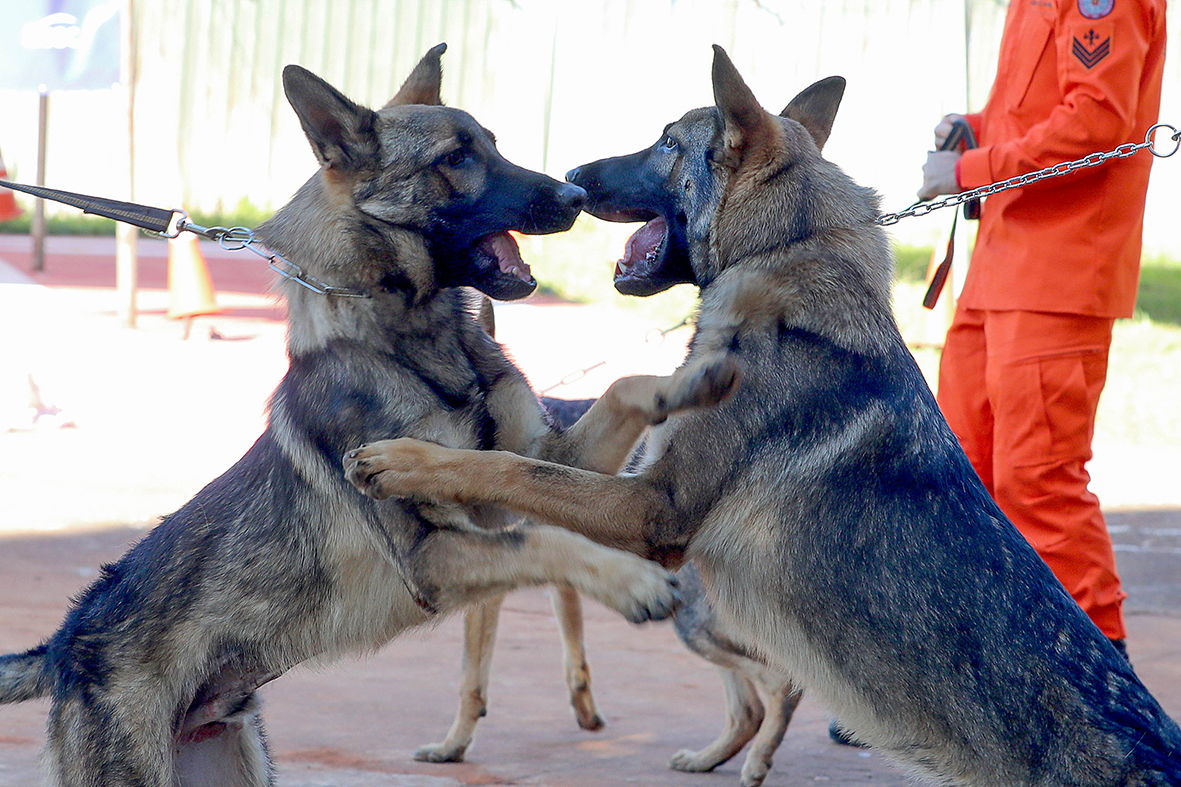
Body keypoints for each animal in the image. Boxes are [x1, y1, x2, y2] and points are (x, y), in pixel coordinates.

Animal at [0, 46, 736, 779]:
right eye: (455, 158)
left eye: (494, 145)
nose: (577, 195)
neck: (413, 341)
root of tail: (62, 645)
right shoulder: (432, 555)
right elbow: (543, 540)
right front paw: (632, 580)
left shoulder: (546, 461)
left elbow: (623, 387)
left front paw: (695, 375)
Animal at [342, 46, 1181, 779]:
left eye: (668, 143)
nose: (574, 180)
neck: (784, 250)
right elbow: (523, 465)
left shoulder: (648, 508)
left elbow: (506, 464)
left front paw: (402, 461)